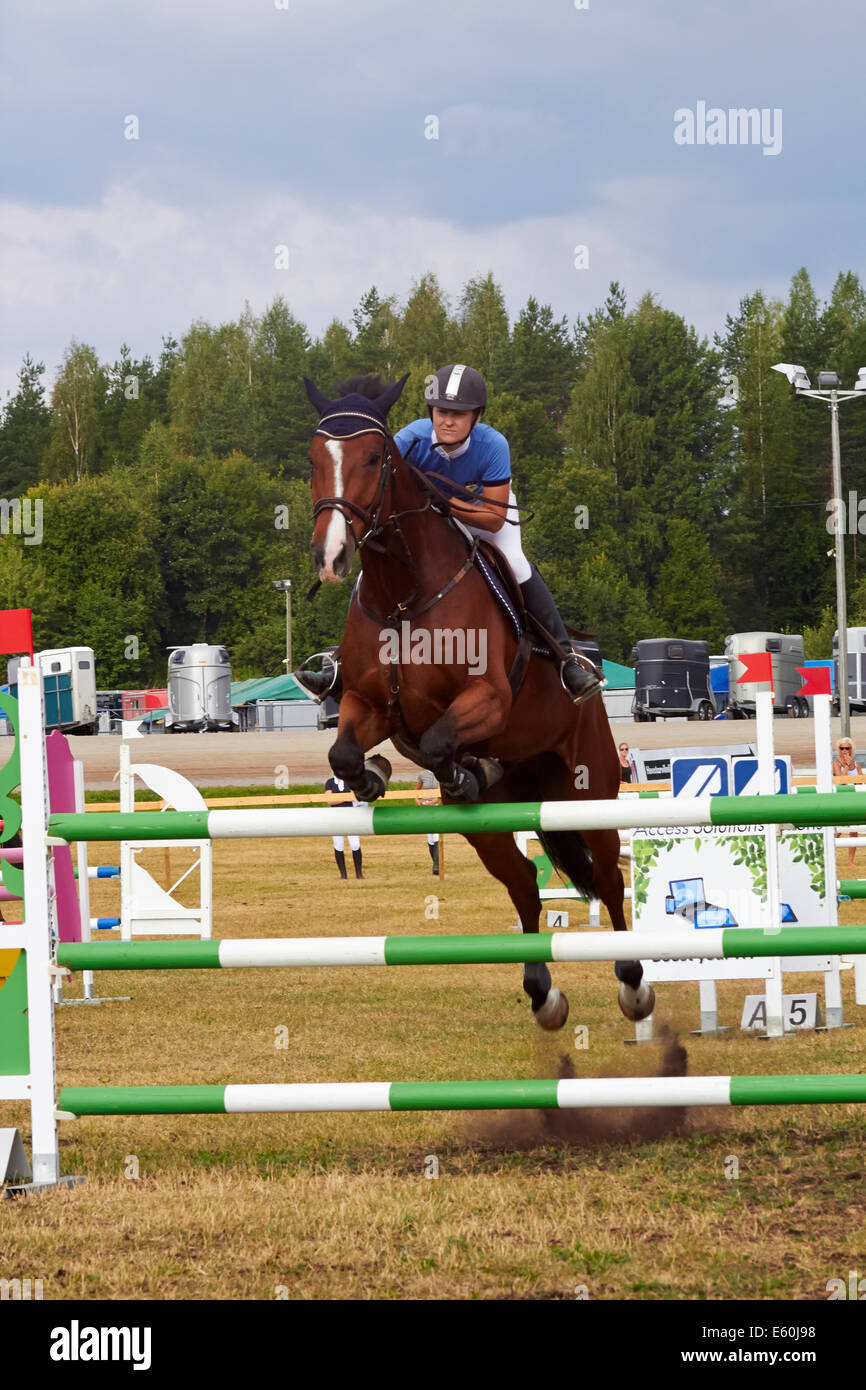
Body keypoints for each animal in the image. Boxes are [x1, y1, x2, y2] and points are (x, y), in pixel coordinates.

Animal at [301, 375, 653, 1028]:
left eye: (375, 458)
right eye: (314, 459)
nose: (330, 558)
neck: (403, 594)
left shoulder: (486, 698)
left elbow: (441, 738)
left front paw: (459, 768)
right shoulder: (367, 704)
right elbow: (345, 755)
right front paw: (375, 775)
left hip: (590, 787)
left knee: (609, 877)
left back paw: (633, 983)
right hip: (492, 825)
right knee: (523, 885)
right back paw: (543, 993)